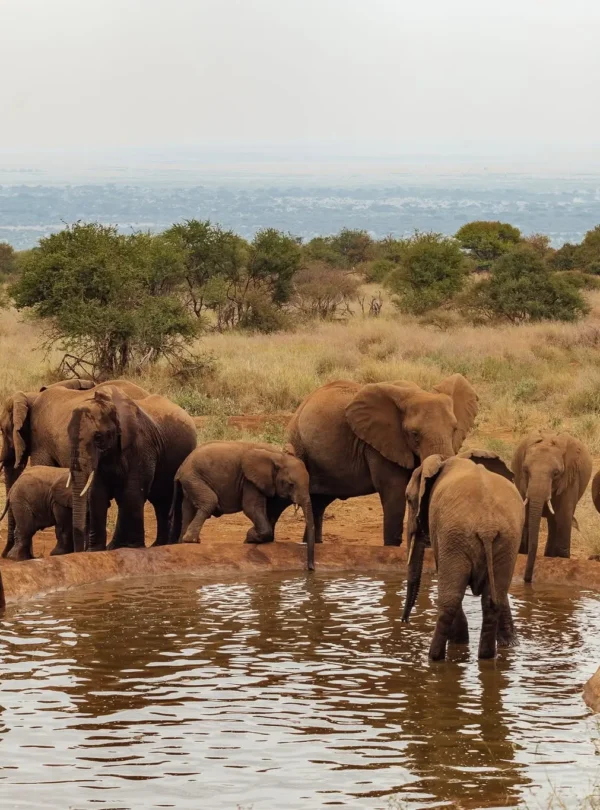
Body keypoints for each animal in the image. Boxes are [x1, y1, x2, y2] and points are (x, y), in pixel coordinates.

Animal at [68, 386, 197, 552]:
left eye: (98, 437)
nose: (79, 550)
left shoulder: (141, 446)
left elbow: (131, 492)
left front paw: (125, 547)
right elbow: (97, 493)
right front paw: (96, 550)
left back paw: (171, 543)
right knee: (160, 501)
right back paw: (159, 544)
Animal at [170, 441, 316, 569]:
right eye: (291, 484)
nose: (311, 568)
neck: (279, 456)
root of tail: (181, 467)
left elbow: (270, 509)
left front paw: (252, 536)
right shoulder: (250, 480)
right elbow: (251, 508)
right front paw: (250, 537)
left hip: (191, 482)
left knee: (188, 509)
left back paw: (183, 541)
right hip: (194, 478)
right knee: (209, 501)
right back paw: (191, 540)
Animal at [285, 374, 478, 547]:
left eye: (454, 429)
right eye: (414, 434)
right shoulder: (379, 445)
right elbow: (394, 492)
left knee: (318, 504)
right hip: (299, 446)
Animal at [402, 450, 524, 660]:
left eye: (409, 499)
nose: (405, 622)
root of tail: (487, 526)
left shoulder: (443, 535)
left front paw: (458, 642)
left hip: (456, 536)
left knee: (450, 600)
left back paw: (434, 657)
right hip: (507, 541)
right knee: (493, 600)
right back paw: (486, 657)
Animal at [512, 432, 592, 583]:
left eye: (555, 473)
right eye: (526, 470)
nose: (527, 580)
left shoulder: (570, 478)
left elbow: (563, 516)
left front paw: (562, 558)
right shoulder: (521, 480)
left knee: (556, 521)